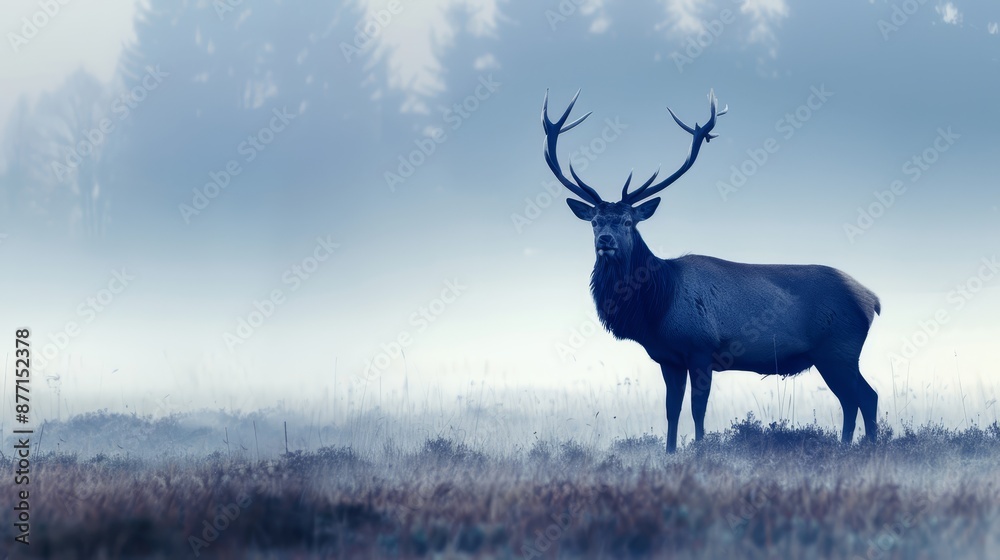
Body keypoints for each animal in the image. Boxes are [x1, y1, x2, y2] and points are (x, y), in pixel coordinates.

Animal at [542, 89, 881, 452]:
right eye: (594, 221)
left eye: (628, 221)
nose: (605, 240)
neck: (657, 305)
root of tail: (872, 300)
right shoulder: (669, 358)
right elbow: (671, 410)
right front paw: (670, 452)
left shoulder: (701, 348)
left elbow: (697, 409)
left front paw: (700, 450)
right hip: (833, 355)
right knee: (854, 400)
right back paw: (849, 445)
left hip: (838, 349)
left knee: (865, 397)